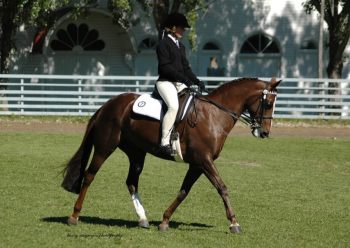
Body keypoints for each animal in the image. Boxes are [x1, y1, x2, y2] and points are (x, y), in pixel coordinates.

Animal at [61, 77, 282, 232]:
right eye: (268, 103)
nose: (265, 133)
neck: (214, 114)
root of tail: (108, 104)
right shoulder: (205, 160)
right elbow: (222, 188)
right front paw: (234, 223)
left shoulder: (197, 164)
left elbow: (183, 191)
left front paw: (165, 220)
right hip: (105, 147)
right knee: (89, 176)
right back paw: (74, 216)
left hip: (136, 153)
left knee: (131, 181)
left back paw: (143, 219)